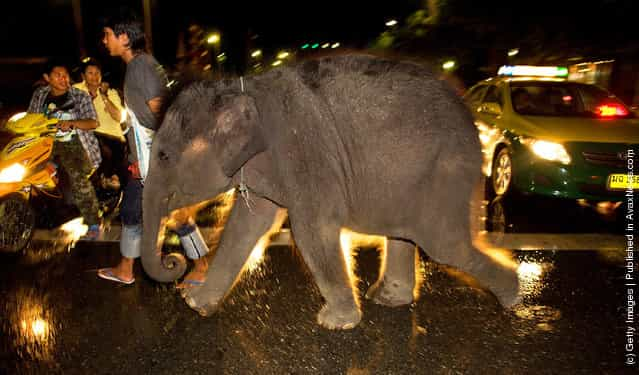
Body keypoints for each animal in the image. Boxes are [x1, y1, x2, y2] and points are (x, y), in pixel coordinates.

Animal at [140, 54, 520, 330]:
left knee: (445, 246)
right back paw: (389, 298)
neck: (242, 87)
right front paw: (196, 306)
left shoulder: (305, 151)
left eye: (163, 156)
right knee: (406, 234)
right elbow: (246, 225)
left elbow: (311, 229)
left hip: (447, 171)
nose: (174, 264)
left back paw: (512, 297)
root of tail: (474, 120)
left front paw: (335, 324)